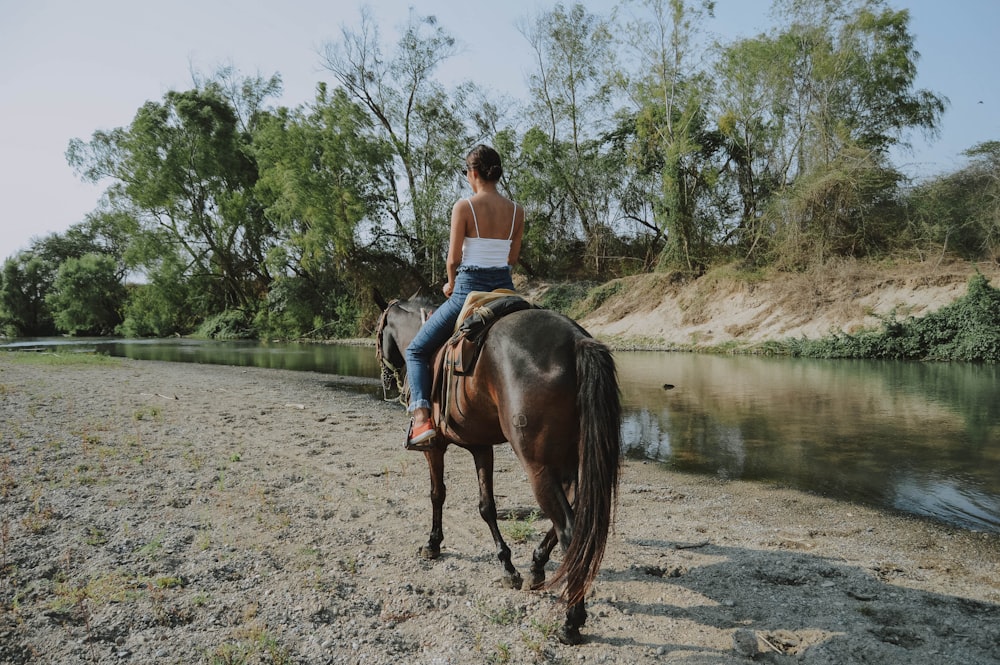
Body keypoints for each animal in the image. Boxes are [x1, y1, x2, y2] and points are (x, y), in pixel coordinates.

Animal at [376, 296, 620, 644]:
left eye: (378, 330)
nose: (385, 377)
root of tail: (575, 340)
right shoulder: (481, 447)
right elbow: (487, 506)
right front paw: (507, 566)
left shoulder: (435, 448)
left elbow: (437, 494)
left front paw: (433, 543)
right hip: (570, 461)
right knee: (575, 516)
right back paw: (536, 568)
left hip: (538, 467)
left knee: (570, 530)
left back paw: (571, 621)